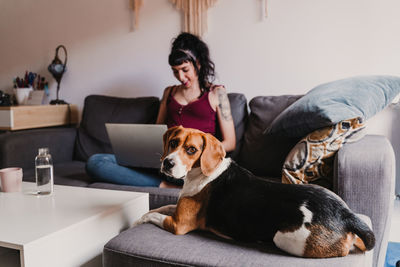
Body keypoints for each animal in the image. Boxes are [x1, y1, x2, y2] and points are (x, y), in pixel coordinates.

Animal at [134, 126, 376, 258]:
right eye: (173, 142)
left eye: (191, 150)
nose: (167, 163)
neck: (201, 173)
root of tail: (346, 214)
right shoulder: (177, 210)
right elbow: (160, 207)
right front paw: (140, 216)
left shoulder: (178, 224)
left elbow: (155, 215)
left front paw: (139, 220)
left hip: (285, 238)